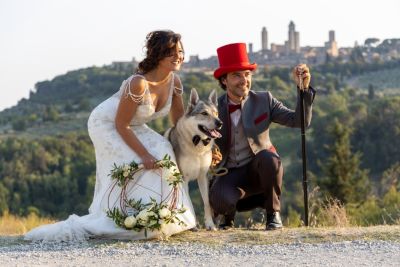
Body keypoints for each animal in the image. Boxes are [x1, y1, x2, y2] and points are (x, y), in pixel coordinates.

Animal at [165, 88, 222, 230]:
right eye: (204, 113)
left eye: (216, 113)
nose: (220, 123)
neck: (197, 146)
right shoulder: (184, 178)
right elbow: (189, 204)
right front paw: (193, 226)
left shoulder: (203, 177)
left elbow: (207, 203)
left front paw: (210, 225)